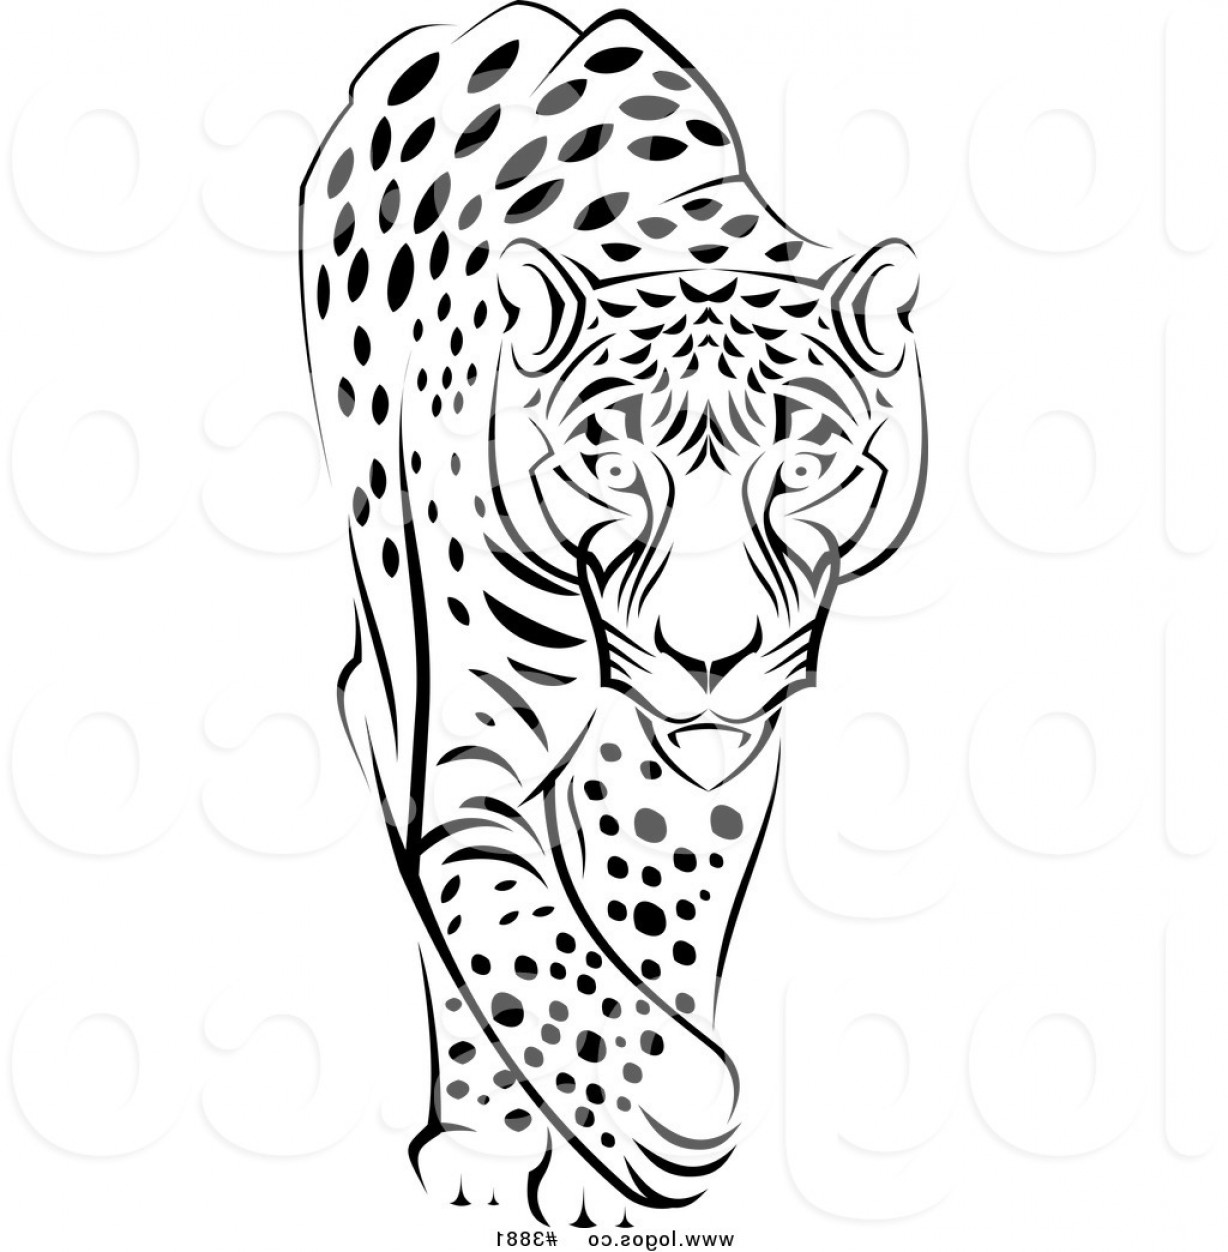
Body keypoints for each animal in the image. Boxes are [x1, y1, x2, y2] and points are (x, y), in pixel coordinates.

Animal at [298, 1, 926, 1228]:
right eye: (613, 464)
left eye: (804, 465)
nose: (708, 658)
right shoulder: (468, 744)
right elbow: (513, 927)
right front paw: (656, 1106)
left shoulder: (678, 769)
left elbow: (651, 919)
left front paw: (619, 1171)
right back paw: (486, 1143)